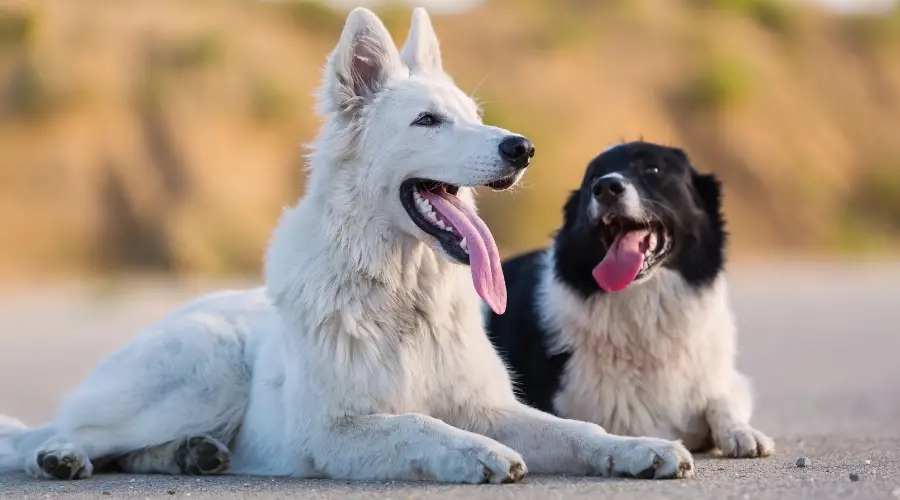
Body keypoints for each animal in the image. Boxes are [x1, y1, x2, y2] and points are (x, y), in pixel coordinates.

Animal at [0, 8, 696, 484]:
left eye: (474, 116)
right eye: (428, 121)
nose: (521, 148)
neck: (402, 295)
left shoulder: (487, 403)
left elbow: (579, 428)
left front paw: (638, 448)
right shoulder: (335, 431)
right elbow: (418, 422)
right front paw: (478, 453)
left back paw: (191, 453)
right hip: (204, 373)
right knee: (64, 430)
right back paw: (61, 456)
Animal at [486, 141, 772, 458]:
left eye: (653, 169)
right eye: (592, 179)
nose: (605, 187)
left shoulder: (724, 378)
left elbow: (721, 398)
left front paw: (741, 432)